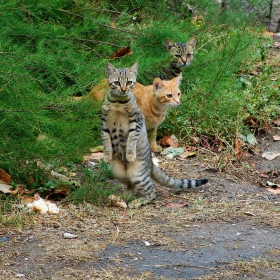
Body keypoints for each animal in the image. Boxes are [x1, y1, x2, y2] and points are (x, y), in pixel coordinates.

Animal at [101, 62, 208, 207]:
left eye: (178, 93)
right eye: (117, 82)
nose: (178, 102)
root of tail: (151, 164)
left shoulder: (138, 123)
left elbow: (134, 139)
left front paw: (132, 153)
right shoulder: (105, 124)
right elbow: (106, 140)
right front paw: (107, 155)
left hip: (138, 173)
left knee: (152, 191)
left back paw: (136, 201)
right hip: (119, 172)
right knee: (131, 185)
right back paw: (123, 198)